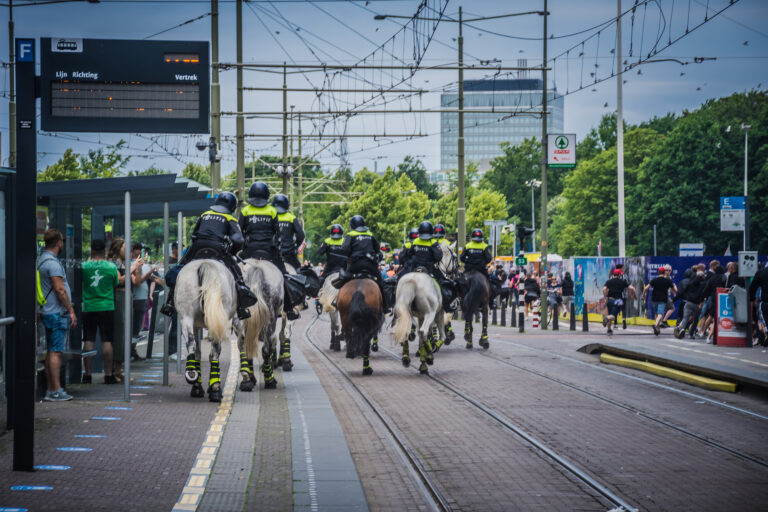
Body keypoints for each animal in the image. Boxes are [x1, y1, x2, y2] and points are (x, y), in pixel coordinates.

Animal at [176, 260, 236, 400]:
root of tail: (205, 264)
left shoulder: (196, 325)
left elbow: (198, 352)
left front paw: (198, 386)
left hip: (186, 317)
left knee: (191, 344)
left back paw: (192, 375)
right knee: (215, 350)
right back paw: (215, 389)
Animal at [238, 258, 284, 390]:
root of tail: (257, 269)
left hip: (240, 318)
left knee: (243, 344)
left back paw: (247, 380)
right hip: (271, 318)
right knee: (266, 348)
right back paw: (269, 381)